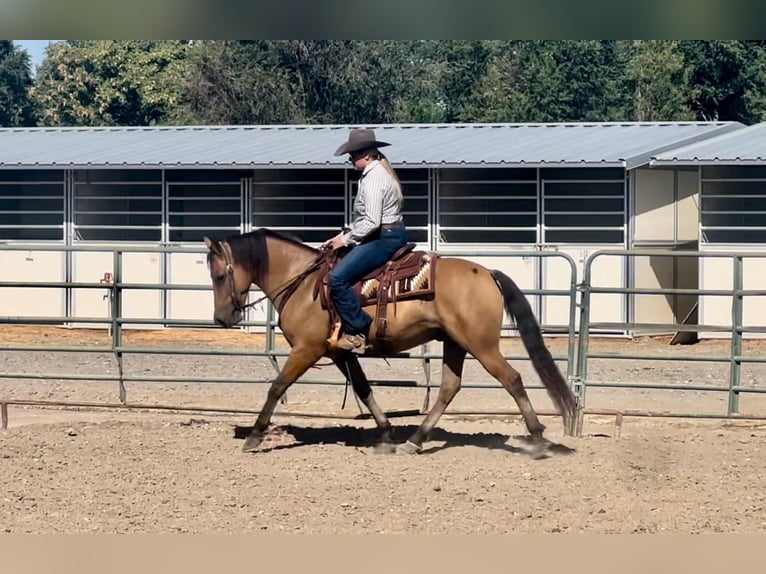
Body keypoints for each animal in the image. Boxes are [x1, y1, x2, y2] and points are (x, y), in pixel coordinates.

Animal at [204, 230, 576, 460]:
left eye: (220, 275)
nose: (221, 318)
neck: (304, 282)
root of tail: (486, 273)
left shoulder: (307, 349)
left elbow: (277, 385)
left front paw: (254, 435)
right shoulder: (339, 352)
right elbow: (364, 388)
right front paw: (385, 433)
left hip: (482, 345)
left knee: (512, 379)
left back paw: (538, 439)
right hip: (455, 343)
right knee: (449, 387)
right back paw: (414, 441)